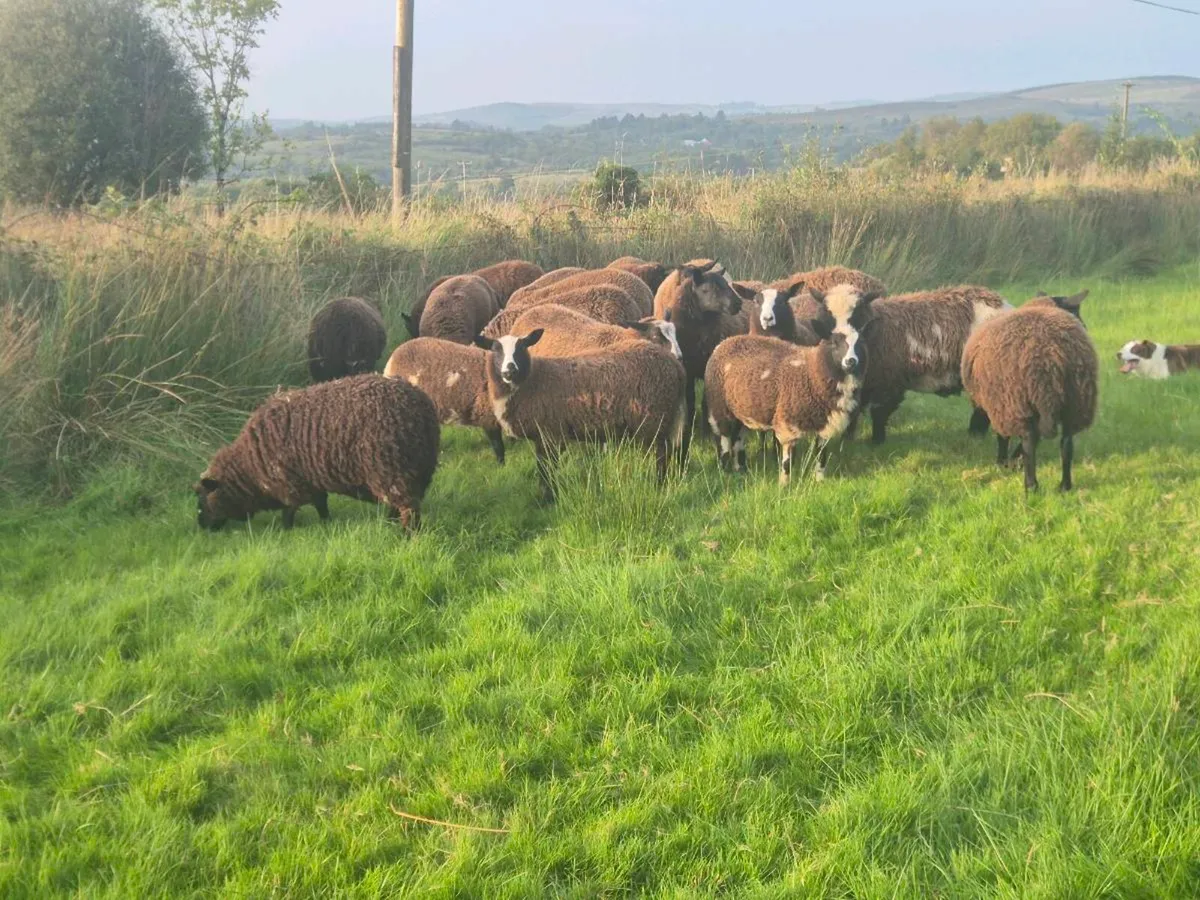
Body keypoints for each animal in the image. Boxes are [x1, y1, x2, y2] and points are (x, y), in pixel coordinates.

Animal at [194, 375, 439, 533]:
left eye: (202, 496)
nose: (202, 527)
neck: (248, 466)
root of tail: (422, 408)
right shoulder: (310, 480)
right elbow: (321, 503)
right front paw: (326, 522)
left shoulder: (289, 483)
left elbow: (290, 510)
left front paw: (286, 530)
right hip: (419, 468)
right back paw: (391, 523)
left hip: (391, 470)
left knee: (408, 508)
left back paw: (407, 535)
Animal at [472, 329, 687, 499]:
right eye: (495, 349)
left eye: (522, 347)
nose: (510, 371)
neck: (533, 381)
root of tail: (674, 365)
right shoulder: (544, 436)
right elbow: (542, 468)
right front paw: (546, 495)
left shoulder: (552, 433)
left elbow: (546, 469)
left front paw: (548, 497)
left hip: (654, 419)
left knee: (661, 454)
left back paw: (658, 485)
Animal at [651, 259, 746, 460]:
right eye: (711, 288)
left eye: (726, 284)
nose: (738, 303)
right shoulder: (687, 368)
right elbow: (690, 401)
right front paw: (690, 428)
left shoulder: (708, 367)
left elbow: (705, 401)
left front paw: (706, 433)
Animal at [705, 286, 878, 484]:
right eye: (834, 343)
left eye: (861, 343)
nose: (851, 361)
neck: (813, 372)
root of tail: (725, 342)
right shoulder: (787, 423)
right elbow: (787, 461)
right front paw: (784, 485)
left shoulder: (825, 423)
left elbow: (821, 454)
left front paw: (819, 480)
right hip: (719, 405)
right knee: (723, 438)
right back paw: (724, 471)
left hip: (742, 407)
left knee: (738, 438)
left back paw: (741, 468)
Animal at [961, 291, 1097, 492]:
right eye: (1077, 313)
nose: (1085, 328)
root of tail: (1051, 356)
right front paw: (1013, 462)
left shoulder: (1000, 404)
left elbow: (1003, 436)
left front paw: (1004, 463)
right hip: (1076, 401)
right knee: (1066, 442)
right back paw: (1064, 485)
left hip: (1017, 401)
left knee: (1029, 441)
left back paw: (1031, 486)